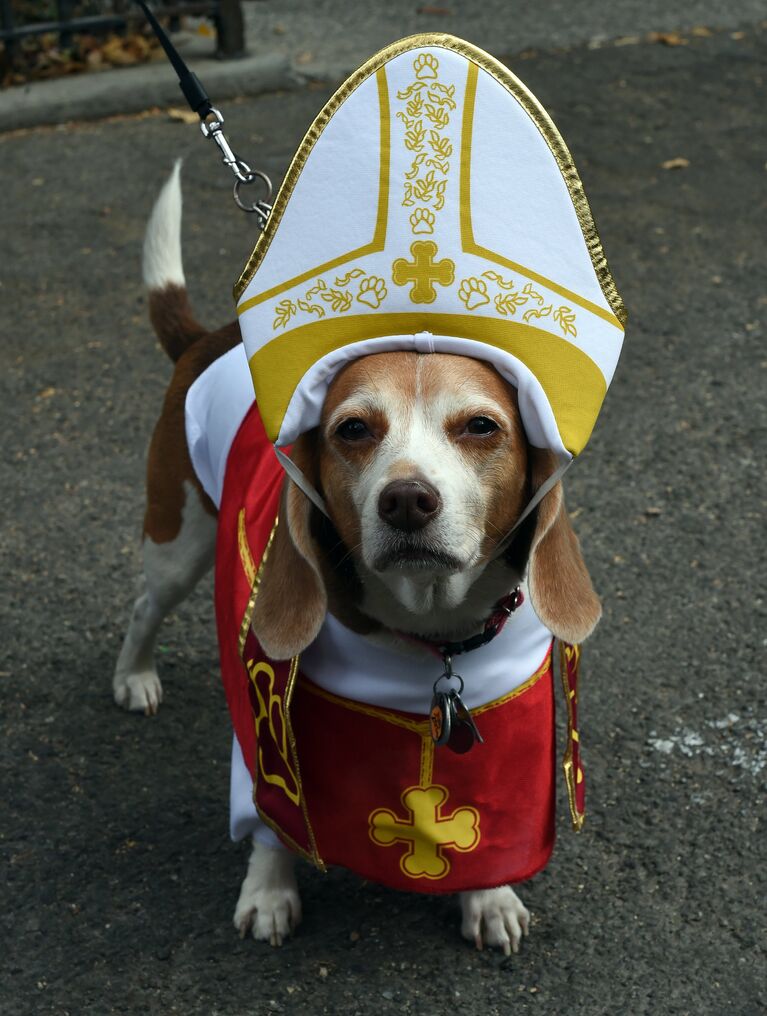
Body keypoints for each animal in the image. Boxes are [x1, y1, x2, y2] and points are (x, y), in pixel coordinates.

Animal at [113, 166, 601, 950]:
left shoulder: (506, 706)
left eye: (480, 427)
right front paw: (269, 891)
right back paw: (134, 677)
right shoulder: (270, 709)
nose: (406, 500)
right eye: (351, 429)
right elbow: (274, 816)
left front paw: (488, 896)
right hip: (177, 539)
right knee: (143, 606)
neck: (428, 639)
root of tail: (211, 340)